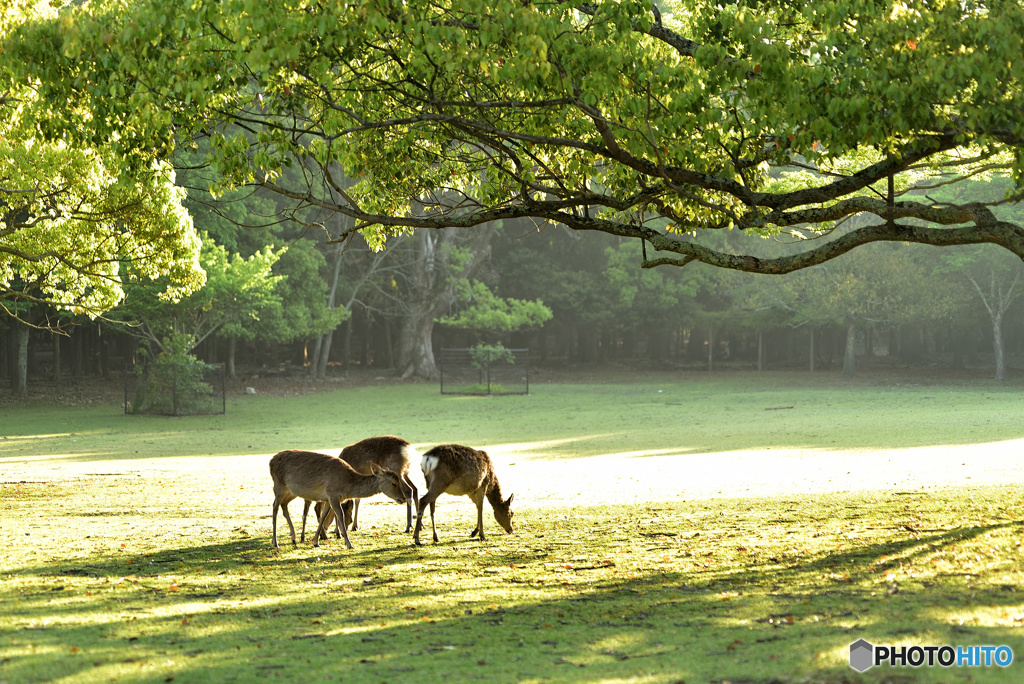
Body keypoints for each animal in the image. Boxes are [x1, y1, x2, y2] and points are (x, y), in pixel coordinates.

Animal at [270, 448, 409, 548]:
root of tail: (271, 461)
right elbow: (340, 516)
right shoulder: (333, 494)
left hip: (291, 491)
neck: (347, 485)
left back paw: (294, 538)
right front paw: (349, 543)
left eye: (398, 480)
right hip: (279, 485)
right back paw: (275, 542)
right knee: (274, 507)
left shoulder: (327, 498)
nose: (403, 498)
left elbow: (323, 516)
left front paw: (316, 541)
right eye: (394, 483)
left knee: (284, 504)